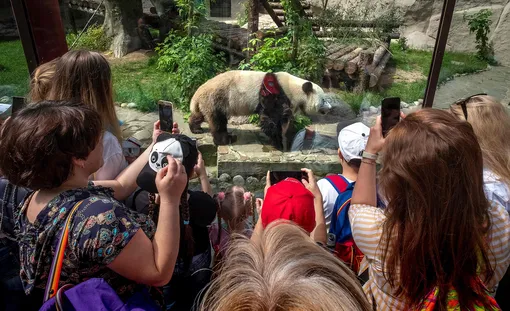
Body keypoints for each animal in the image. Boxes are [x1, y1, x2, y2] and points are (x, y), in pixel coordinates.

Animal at [187, 71, 330, 147]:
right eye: (323, 99)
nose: (329, 108)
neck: (293, 88)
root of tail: (198, 93)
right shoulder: (274, 93)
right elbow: (271, 117)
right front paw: (277, 141)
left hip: (207, 102)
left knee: (199, 115)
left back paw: (196, 128)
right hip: (218, 97)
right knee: (217, 121)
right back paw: (225, 139)